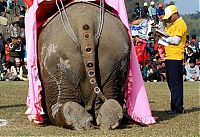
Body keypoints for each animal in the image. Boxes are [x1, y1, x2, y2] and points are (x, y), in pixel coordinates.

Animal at [37, 2, 131, 131]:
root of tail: (85, 19)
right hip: (117, 54)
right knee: (111, 92)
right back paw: (109, 117)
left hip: (54, 57)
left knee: (59, 99)